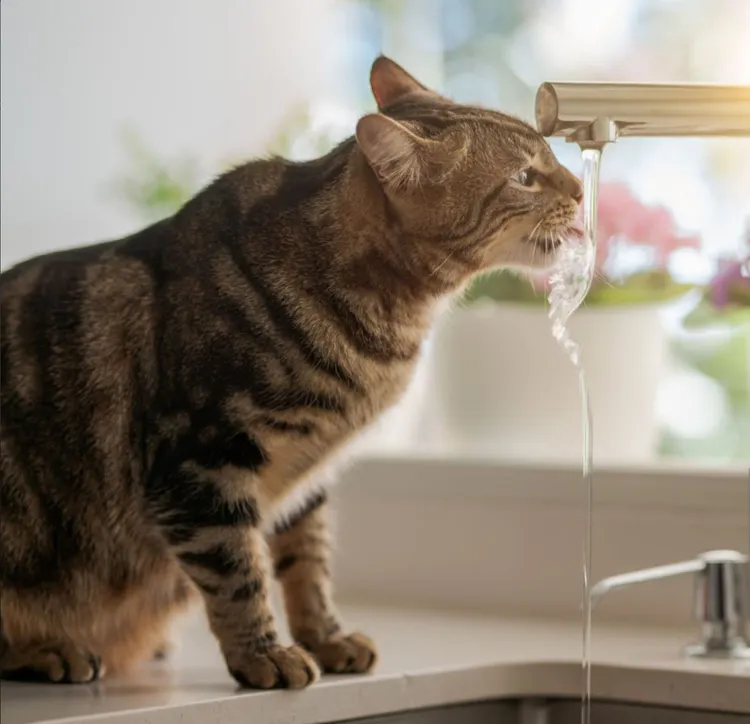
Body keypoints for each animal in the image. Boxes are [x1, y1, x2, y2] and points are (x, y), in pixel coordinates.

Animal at [0, 53, 584, 688]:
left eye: (551, 160)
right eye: (526, 177)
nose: (582, 189)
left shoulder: (308, 477)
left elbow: (308, 564)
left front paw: (326, 637)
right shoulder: (203, 462)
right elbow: (237, 571)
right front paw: (262, 653)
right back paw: (46, 649)